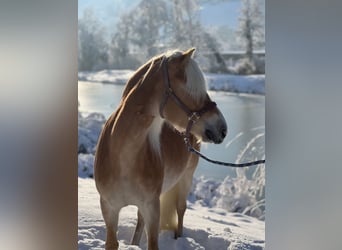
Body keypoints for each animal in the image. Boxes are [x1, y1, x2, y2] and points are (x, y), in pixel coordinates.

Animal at [93, 47, 227, 249]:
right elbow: (112, 242)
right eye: (193, 90)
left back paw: (179, 237)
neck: (123, 158)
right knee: (140, 220)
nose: (222, 128)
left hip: (186, 178)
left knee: (180, 209)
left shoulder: (152, 208)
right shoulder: (109, 208)